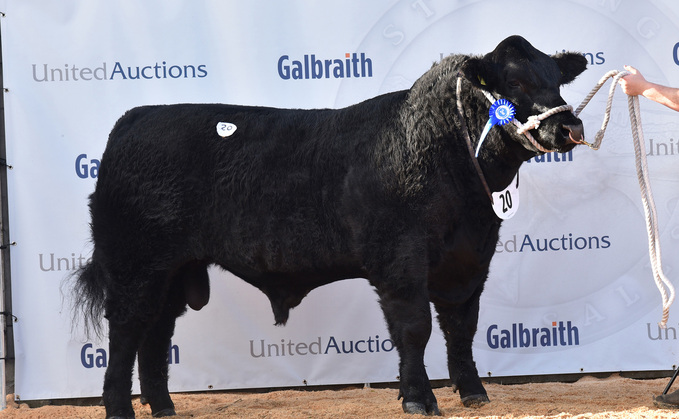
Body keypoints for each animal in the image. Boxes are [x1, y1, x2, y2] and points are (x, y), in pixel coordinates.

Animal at [71, 35, 588, 416]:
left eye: (557, 80)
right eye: (514, 82)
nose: (570, 128)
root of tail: (134, 121)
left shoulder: (470, 259)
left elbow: (461, 327)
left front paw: (473, 393)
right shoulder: (400, 259)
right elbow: (414, 328)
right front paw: (419, 399)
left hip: (173, 270)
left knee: (156, 331)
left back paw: (162, 406)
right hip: (134, 262)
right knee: (126, 329)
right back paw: (119, 408)